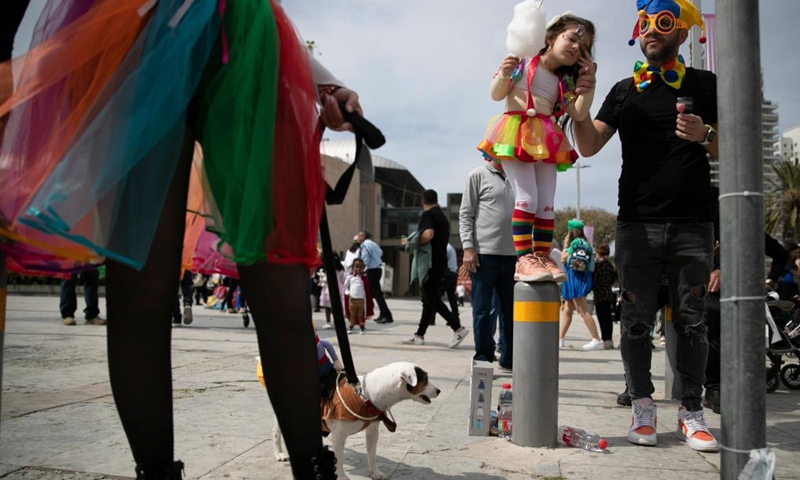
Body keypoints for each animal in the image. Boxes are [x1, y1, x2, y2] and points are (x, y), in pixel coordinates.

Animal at [272, 362, 440, 478]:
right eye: (425, 379)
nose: (439, 390)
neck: (365, 394)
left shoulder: (373, 430)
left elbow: (371, 453)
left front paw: (375, 473)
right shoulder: (338, 435)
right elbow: (339, 458)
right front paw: (341, 477)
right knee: (276, 432)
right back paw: (279, 454)